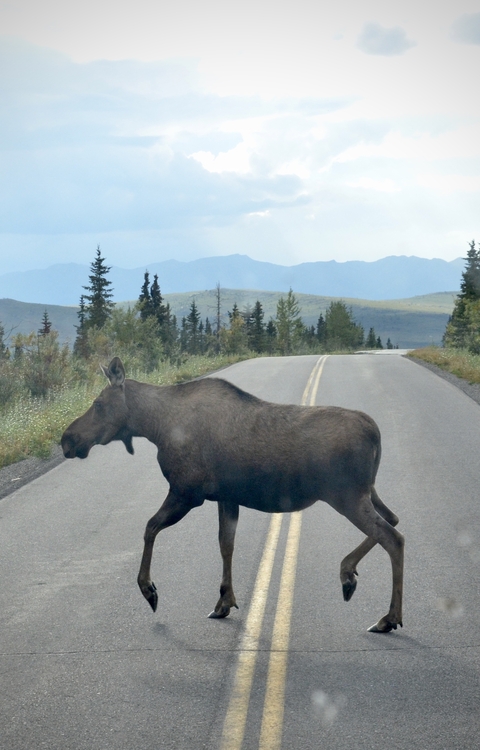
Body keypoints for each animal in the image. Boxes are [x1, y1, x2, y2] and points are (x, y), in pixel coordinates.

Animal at [61, 357, 404, 633]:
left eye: (99, 404)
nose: (67, 439)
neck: (155, 426)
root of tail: (375, 431)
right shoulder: (226, 497)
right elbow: (226, 544)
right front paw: (225, 600)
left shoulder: (186, 492)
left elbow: (149, 528)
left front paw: (149, 590)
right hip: (365, 492)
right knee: (394, 519)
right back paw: (349, 574)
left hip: (346, 496)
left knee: (393, 537)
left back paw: (388, 617)